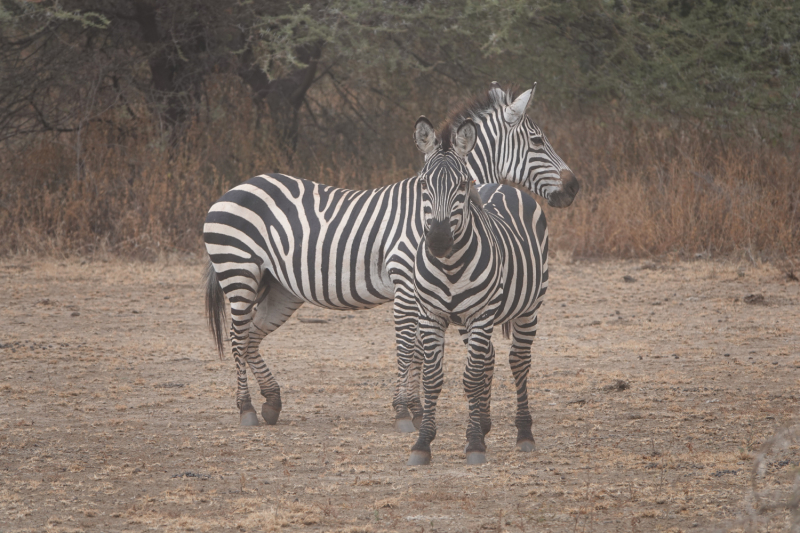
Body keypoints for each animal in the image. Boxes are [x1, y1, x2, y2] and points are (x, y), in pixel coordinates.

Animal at [203, 82, 580, 428]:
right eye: (537, 142)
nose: (574, 186)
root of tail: (237, 187)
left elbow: (418, 350)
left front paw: (416, 407)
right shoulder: (406, 283)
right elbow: (407, 345)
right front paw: (403, 410)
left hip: (281, 287)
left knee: (251, 337)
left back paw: (271, 402)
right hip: (239, 272)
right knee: (238, 337)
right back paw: (247, 409)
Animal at [406, 117, 552, 466]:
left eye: (462, 185)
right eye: (423, 185)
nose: (438, 240)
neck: (449, 265)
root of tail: (502, 185)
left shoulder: (481, 313)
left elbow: (470, 378)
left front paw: (473, 443)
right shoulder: (431, 314)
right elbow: (433, 378)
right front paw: (423, 442)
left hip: (529, 309)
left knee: (518, 361)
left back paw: (524, 433)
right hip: (468, 321)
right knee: (489, 357)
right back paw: (484, 423)